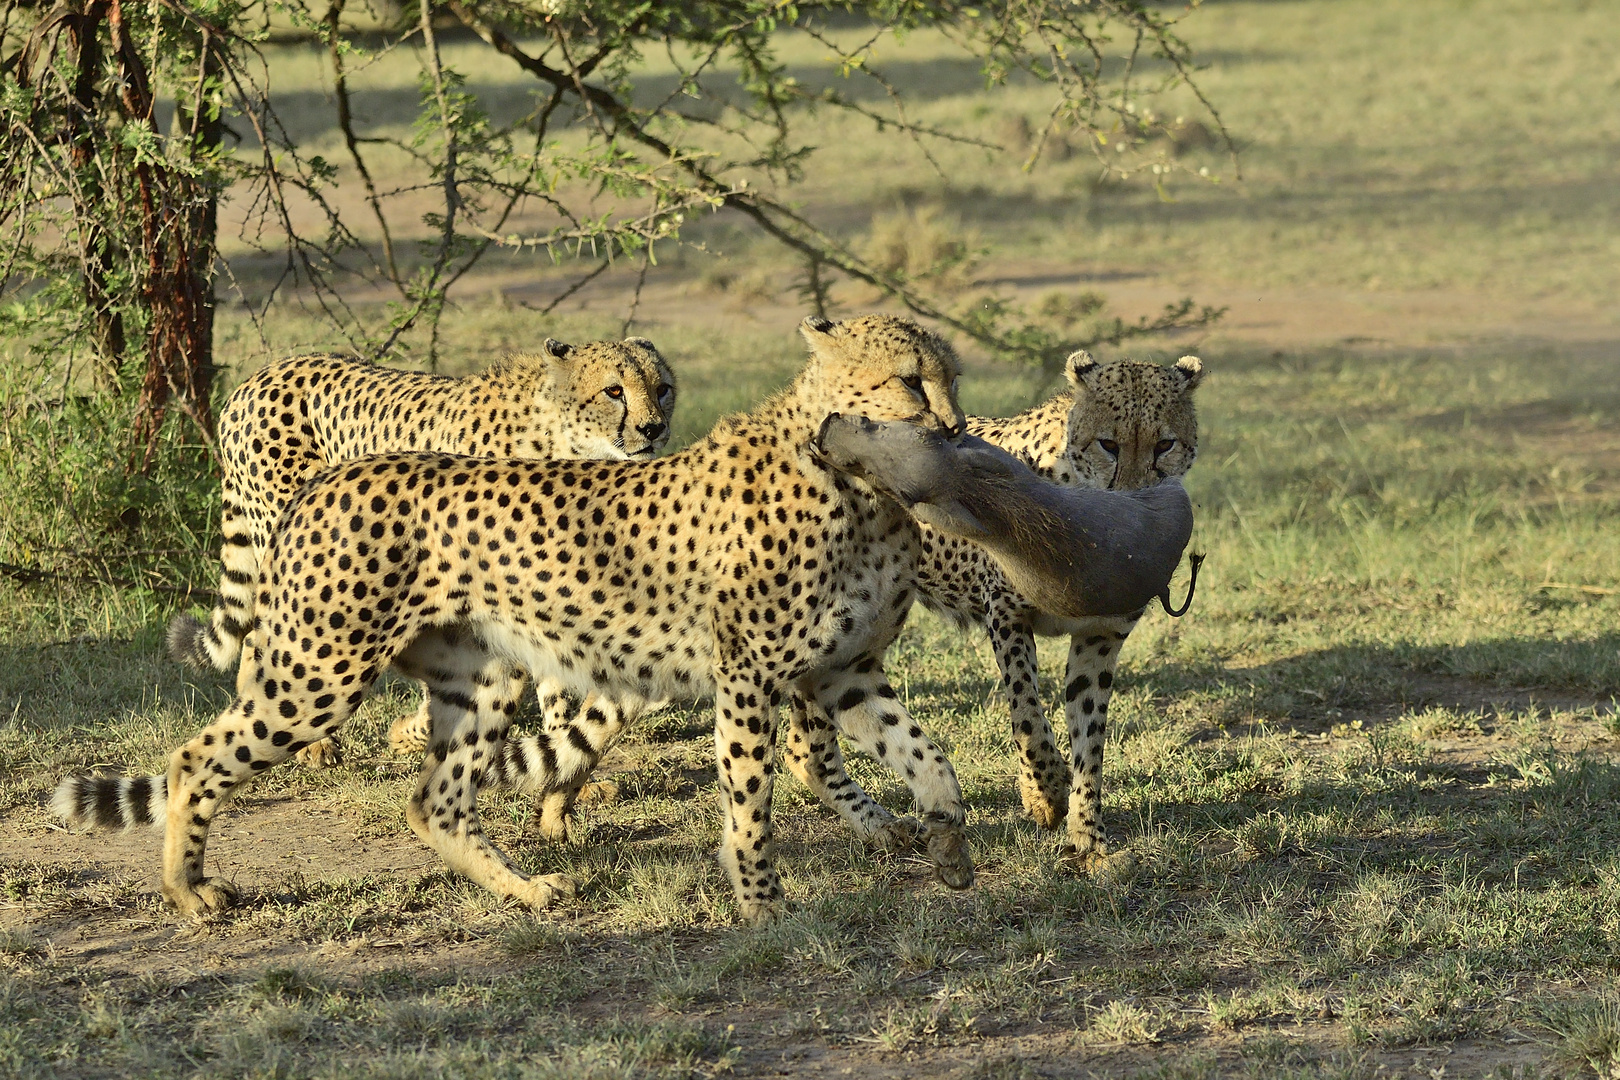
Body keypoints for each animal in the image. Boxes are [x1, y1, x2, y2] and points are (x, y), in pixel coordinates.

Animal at [162, 341, 670, 780]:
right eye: (613, 390)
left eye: (662, 387)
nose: (654, 429)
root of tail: (255, 378)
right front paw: (413, 732)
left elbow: (549, 678)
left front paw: (562, 757)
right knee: (269, 639)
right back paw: (308, 739)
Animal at [777, 354, 1198, 867]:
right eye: (1109, 444)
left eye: (1164, 445)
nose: (1138, 503)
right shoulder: (1006, 614)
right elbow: (1027, 712)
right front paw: (1045, 793)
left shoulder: (1099, 638)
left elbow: (1089, 737)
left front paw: (1089, 837)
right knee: (805, 750)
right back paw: (881, 826)